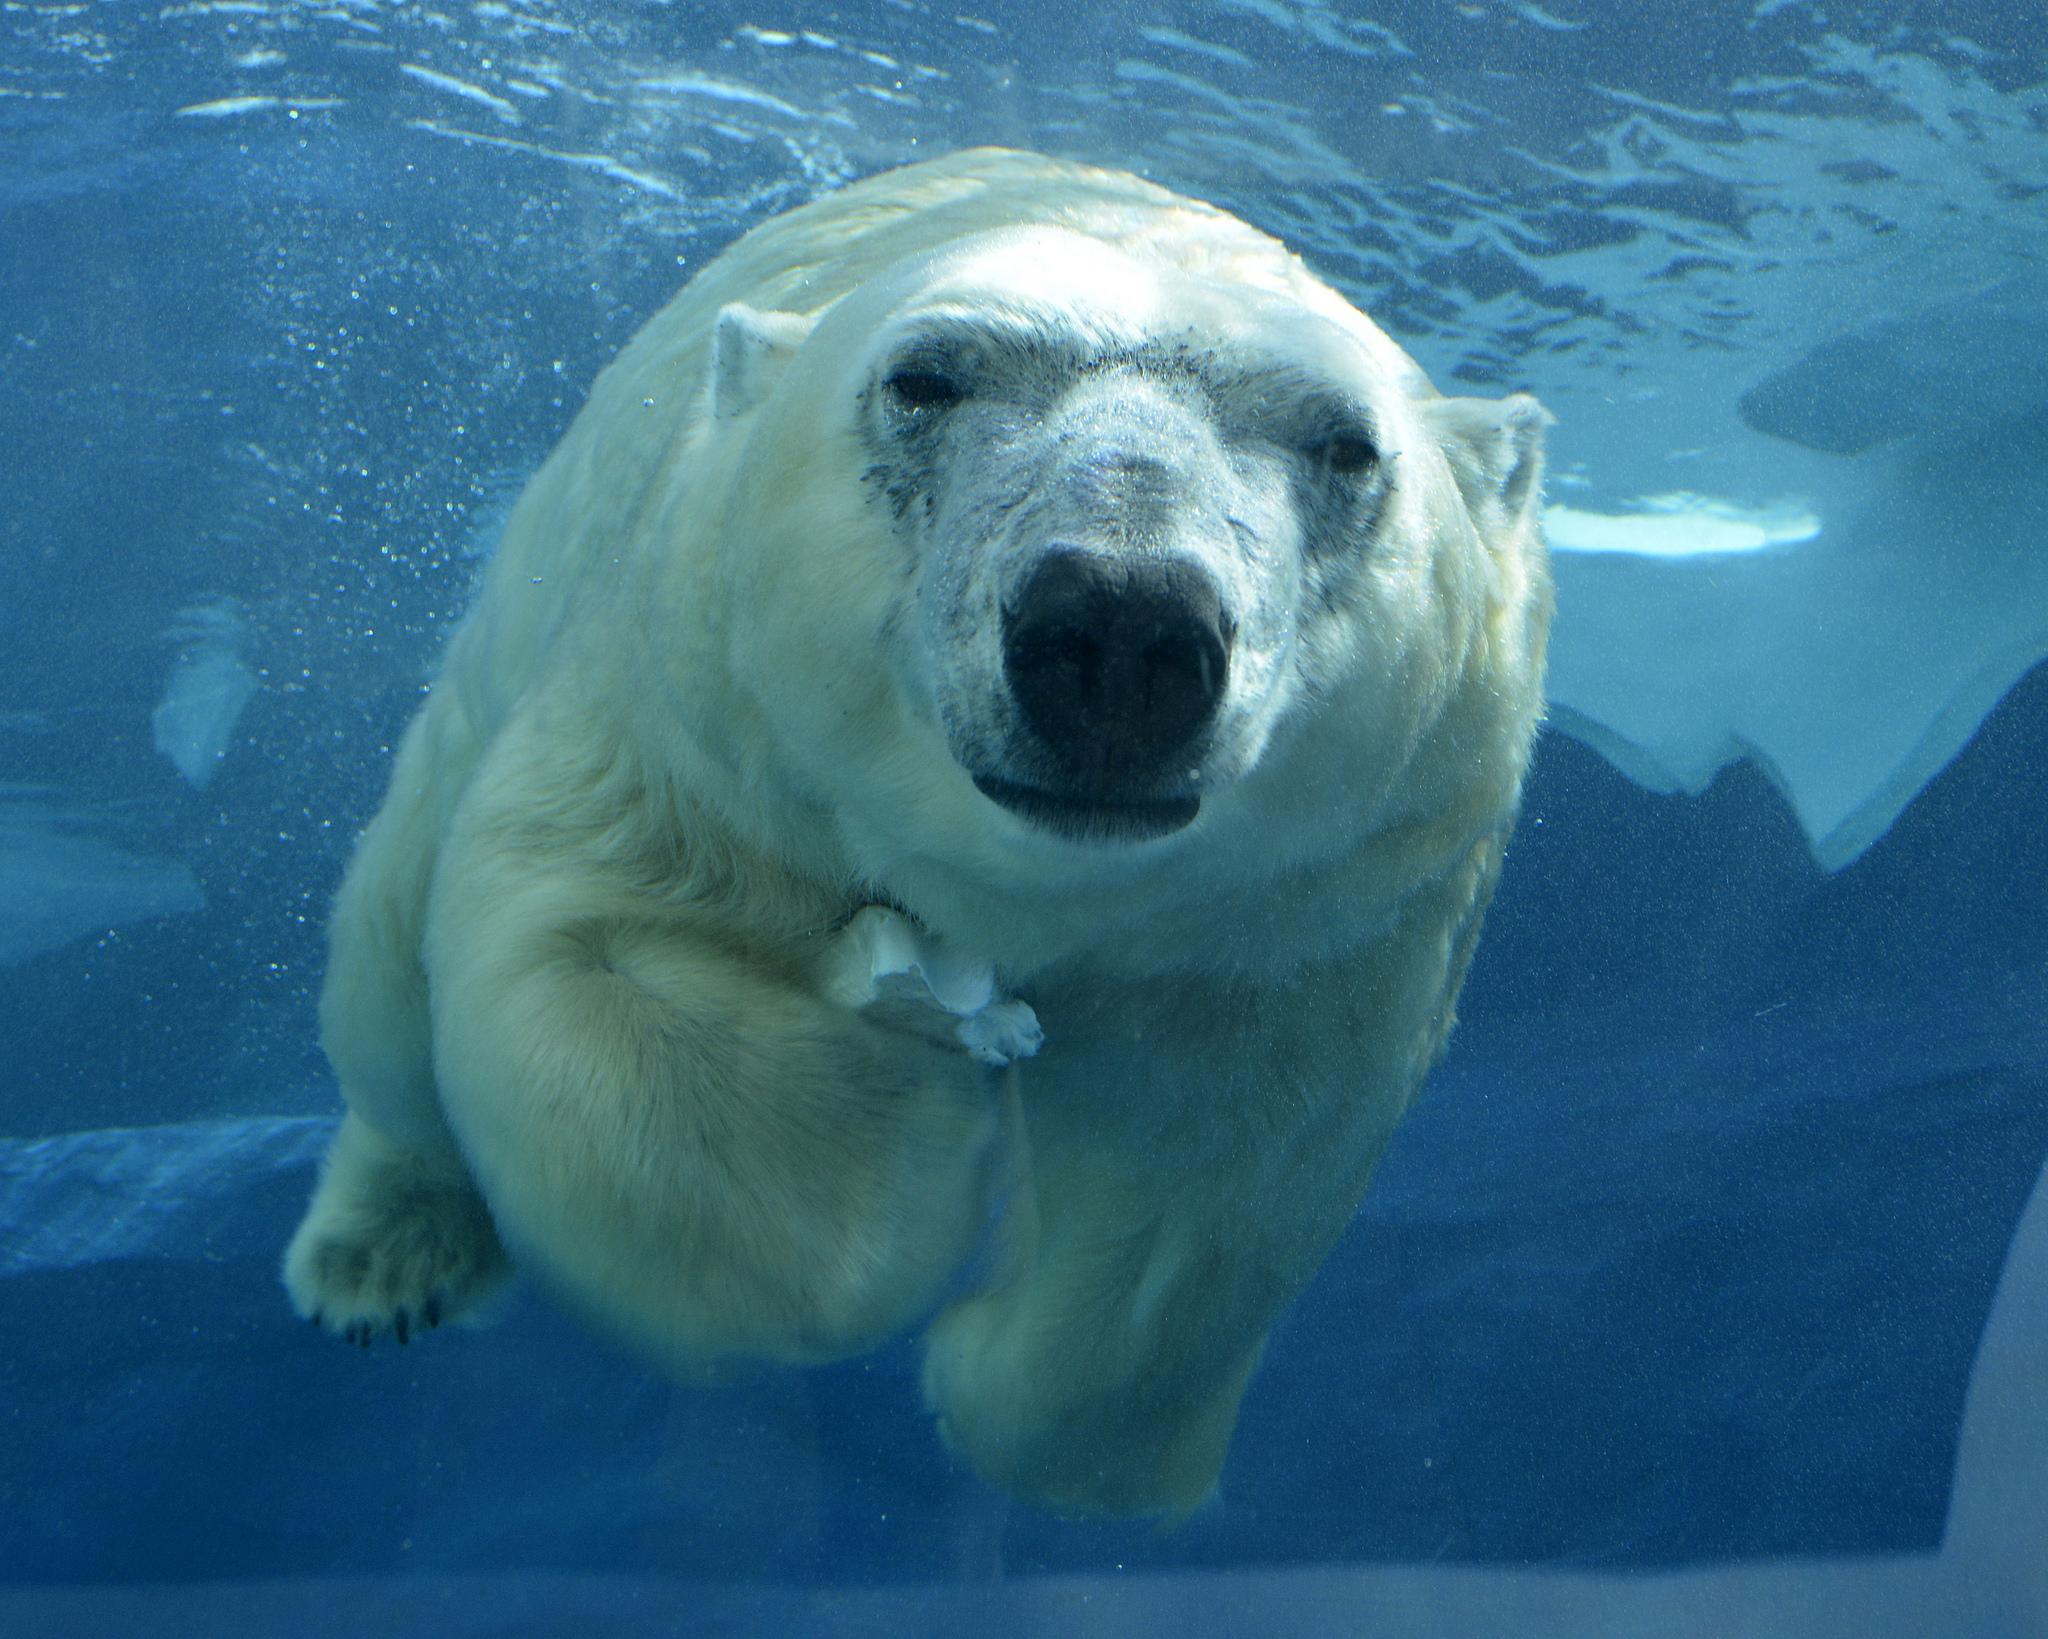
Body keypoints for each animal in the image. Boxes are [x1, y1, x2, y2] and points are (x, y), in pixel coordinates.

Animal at [280, 147, 1540, 1516]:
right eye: (925, 378)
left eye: (1345, 445)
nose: (1118, 625)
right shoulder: (693, 727)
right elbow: (588, 961)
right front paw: (891, 1125)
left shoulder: (1312, 911)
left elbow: (1213, 1187)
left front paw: (1023, 1401)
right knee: (387, 973)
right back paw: (384, 1258)